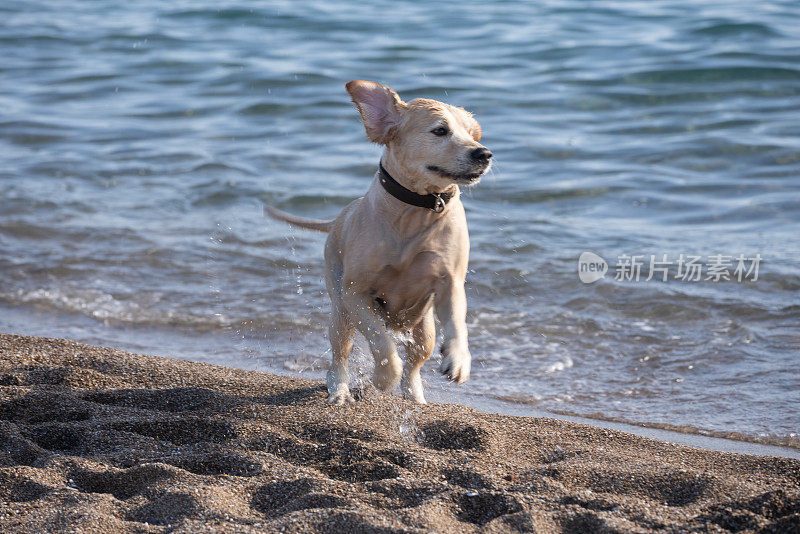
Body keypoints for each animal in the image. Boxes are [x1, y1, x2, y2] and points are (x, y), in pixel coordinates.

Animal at [268, 81, 488, 404]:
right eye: (440, 130)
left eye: (472, 134)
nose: (484, 153)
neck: (418, 209)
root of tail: (338, 218)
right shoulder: (355, 295)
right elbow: (382, 343)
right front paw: (382, 379)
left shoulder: (451, 282)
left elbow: (457, 323)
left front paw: (459, 359)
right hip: (340, 311)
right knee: (340, 353)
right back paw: (340, 390)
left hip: (424, 328)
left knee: (417, 359)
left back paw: (415, 397)